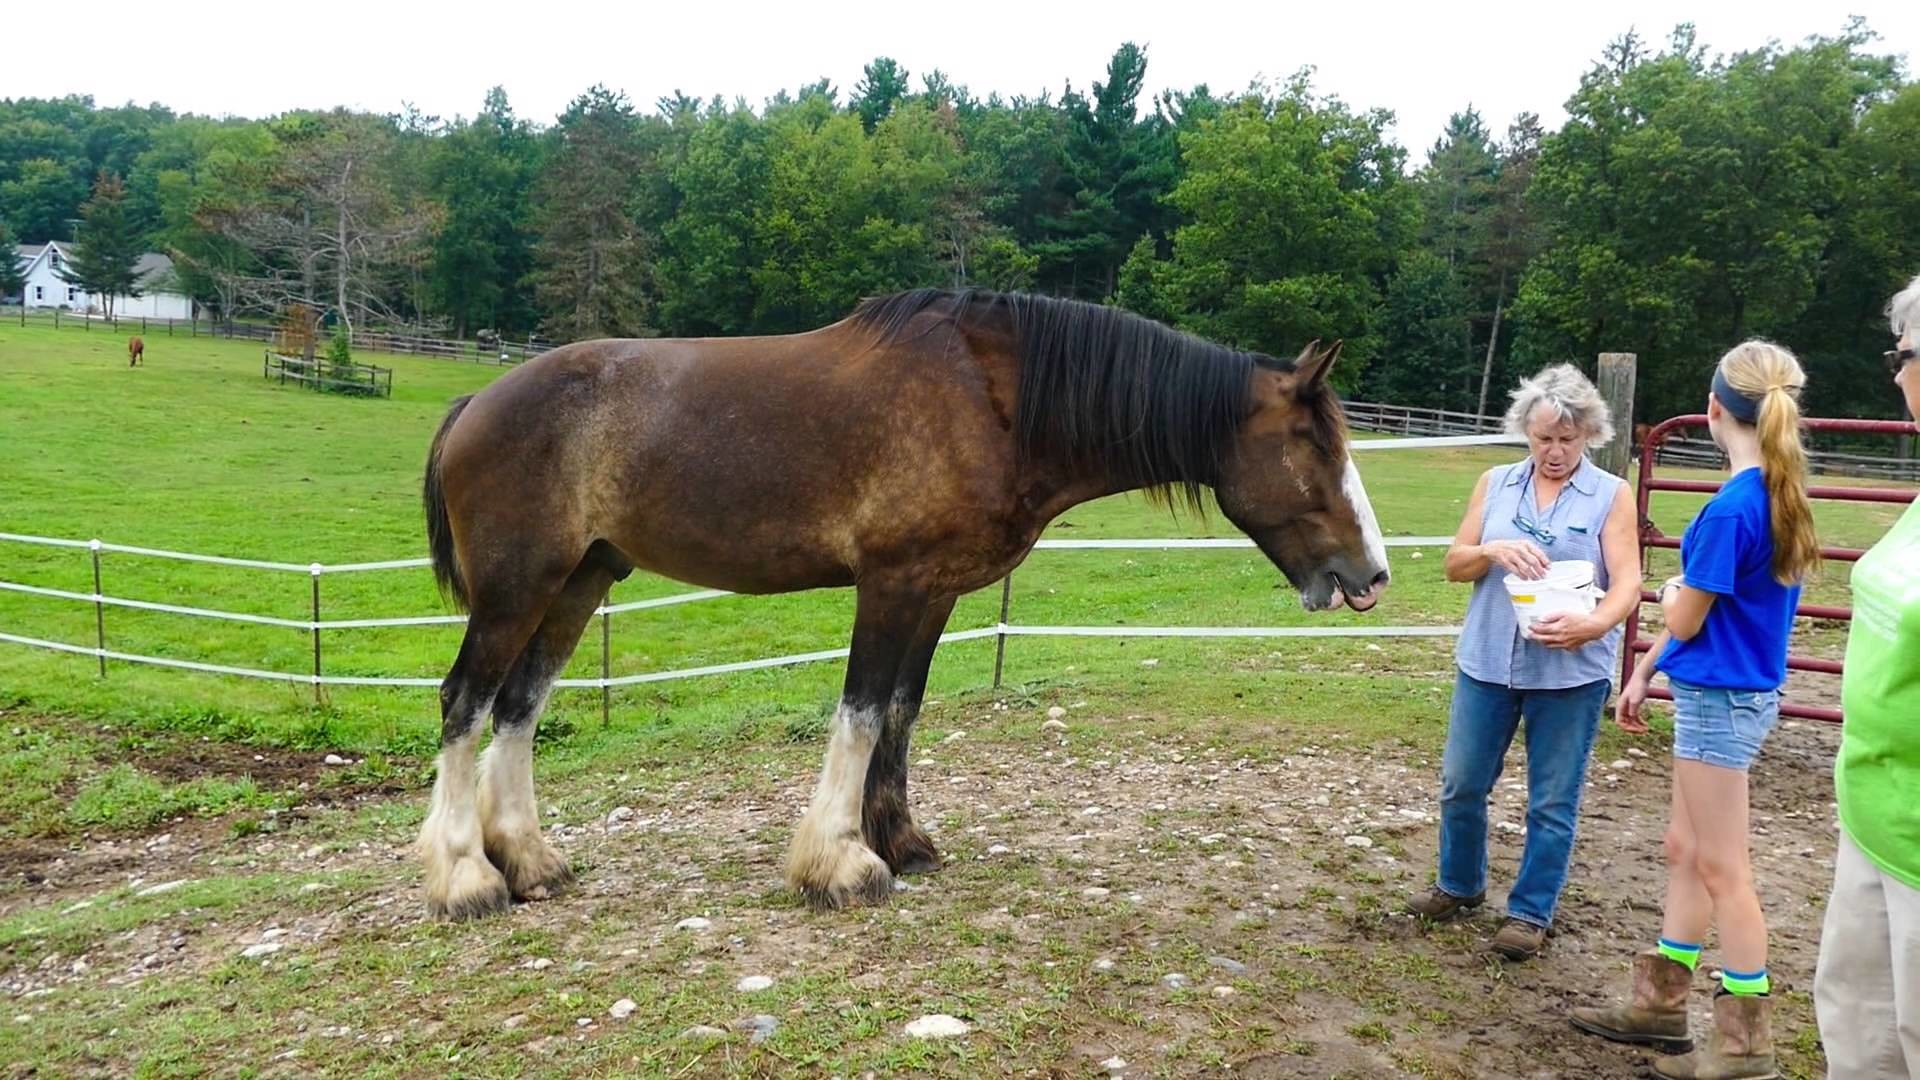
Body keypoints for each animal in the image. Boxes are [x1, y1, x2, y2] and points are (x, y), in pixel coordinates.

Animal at [416, 287, 1391, 920]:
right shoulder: (888, 586)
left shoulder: (934, 592)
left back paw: (530, 862)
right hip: (516, 591)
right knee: (466, 704)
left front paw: (900, 842)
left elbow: (899, 713)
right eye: (1312, 443)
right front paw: (843, 863)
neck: (993, 402)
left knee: (518, 708)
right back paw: (467, 877)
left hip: (577, 584)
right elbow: (857, 714)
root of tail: (475, 401)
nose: (1372, 575)